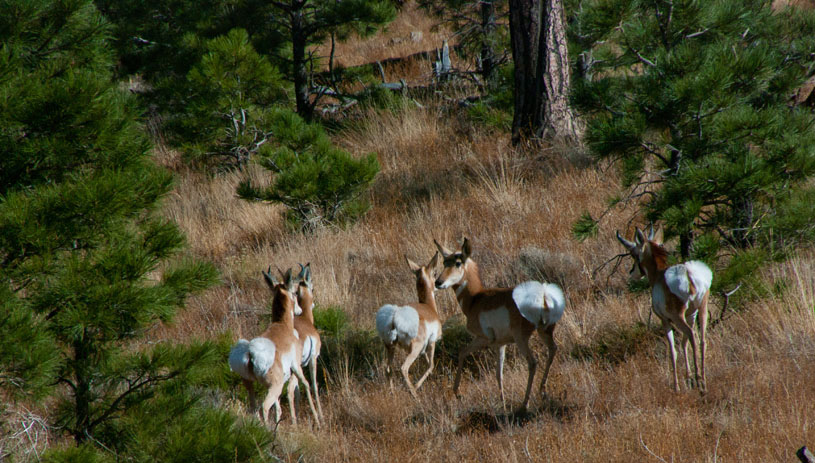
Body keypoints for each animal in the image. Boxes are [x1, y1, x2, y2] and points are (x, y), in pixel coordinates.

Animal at [230, 268, 322, 428]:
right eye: (294, 292)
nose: (298, 310)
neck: (282, 325)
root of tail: (250, 354)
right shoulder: (301, 364)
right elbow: (308, 385)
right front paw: (318, 419)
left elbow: (282, 404)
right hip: (276, 385)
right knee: (266, 406)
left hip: (251, 385)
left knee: (255, 408)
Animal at [378, 254, 444, 398]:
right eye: (435, 273)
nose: (438, 284)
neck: (429, 307)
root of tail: (394, 317)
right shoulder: (431, 343)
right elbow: (431, 366)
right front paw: (417, 386)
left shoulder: (423, 350)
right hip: (414, 349)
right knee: (403, 368)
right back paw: (414, 393)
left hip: (390, 347)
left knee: (388, 369)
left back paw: (393, 393)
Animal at [436, 239, 564, 410]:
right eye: (444, 262)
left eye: (458, 263)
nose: (438, 282)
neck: (475, 298)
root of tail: (543, 294)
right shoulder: (501, 344)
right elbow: (499, 373)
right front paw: (502, 401)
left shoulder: (483, 339)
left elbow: (462, 352)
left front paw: (458, 393)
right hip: (544, 331)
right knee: (553, 349)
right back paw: (542, 391)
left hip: (521, 338)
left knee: (532, 362)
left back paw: (525, 403)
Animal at [620, 227, 712, 394]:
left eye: (634, 254)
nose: (632, 273)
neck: (659, 274)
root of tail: (688, 273)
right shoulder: (691, 315)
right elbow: (683, 344)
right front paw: (688, 379)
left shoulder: (665, 321)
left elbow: (672, 350)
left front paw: (677, 387)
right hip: (701, 309)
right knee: (701, 339)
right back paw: (703, 381)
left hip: (678, 317)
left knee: (692, 335)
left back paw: (700, 384)